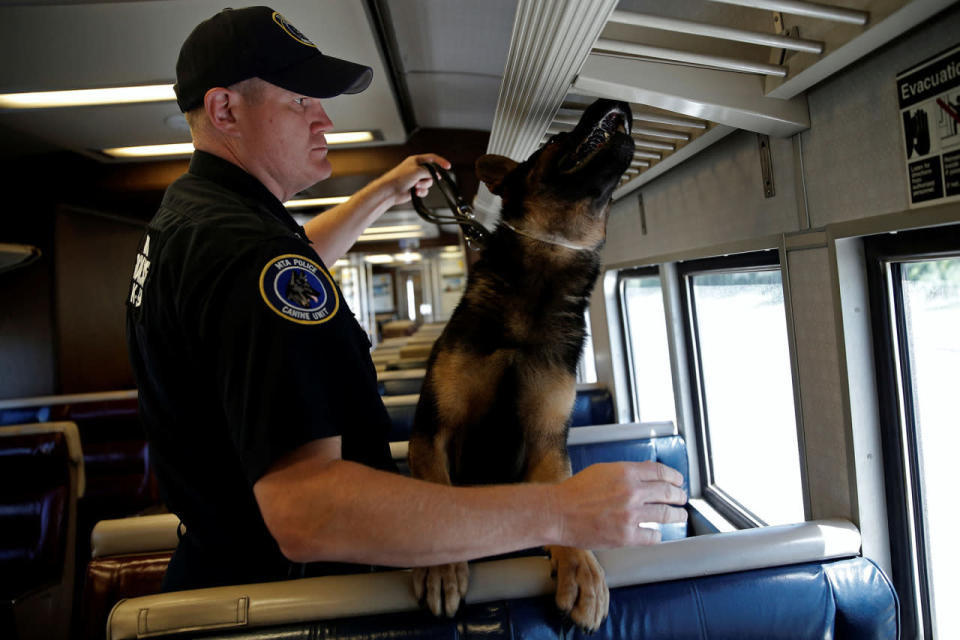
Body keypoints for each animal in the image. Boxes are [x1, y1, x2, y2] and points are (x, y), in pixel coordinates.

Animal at [408, 100, 632, 632]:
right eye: (552, 141)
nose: (610, 104)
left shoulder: (547, 442)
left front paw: (581, 567)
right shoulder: (433, 428)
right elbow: (438, 496)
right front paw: (442, 565)